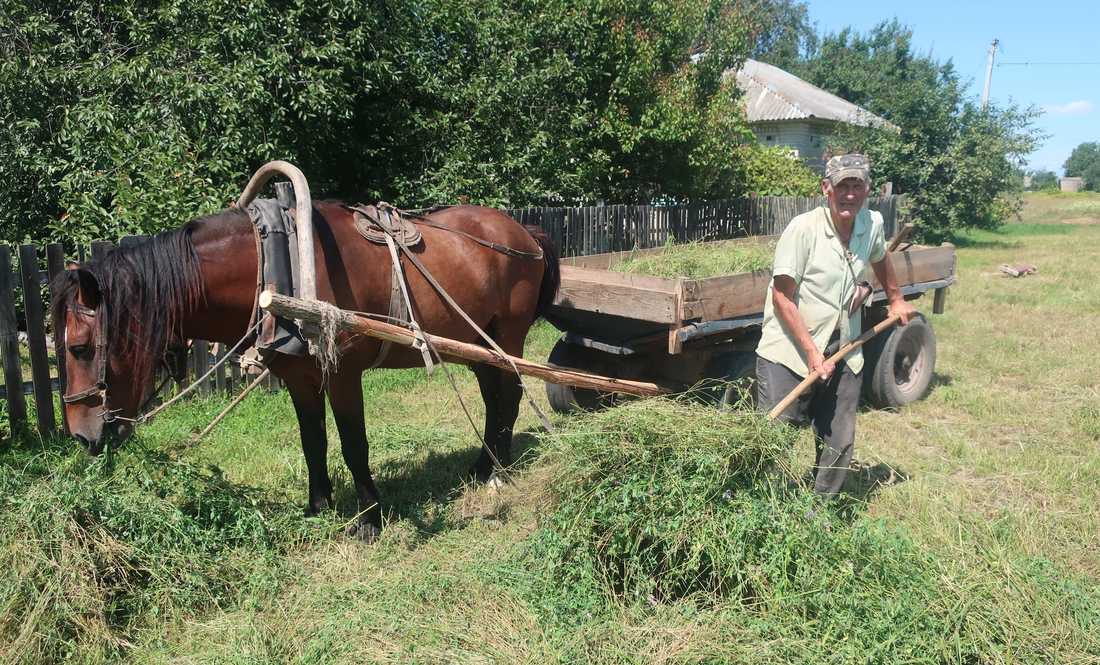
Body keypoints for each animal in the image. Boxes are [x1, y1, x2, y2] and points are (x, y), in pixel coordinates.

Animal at [49, 201, 558, 538]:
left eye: (79, 347)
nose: (79, 436)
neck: (279, 264)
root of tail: (523, 230)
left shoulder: (342, 375)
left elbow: (353, 445)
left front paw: (369, 519)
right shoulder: (300, 381)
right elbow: (313, 444)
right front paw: (317, 507)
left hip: (507, 336)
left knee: (510, 396)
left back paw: (498, 472)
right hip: (476, 343)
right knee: (493, 398)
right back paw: (483, 464)